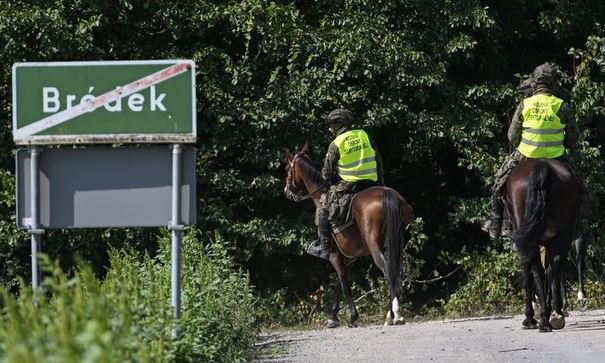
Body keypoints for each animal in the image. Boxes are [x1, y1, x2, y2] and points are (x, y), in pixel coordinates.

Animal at [284, 143, 416, 330]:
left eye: (287, 168)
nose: (287, 191)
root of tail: (387, 195)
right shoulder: (349, 258)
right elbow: (338, 284)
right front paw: (333, 318)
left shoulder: (334, 255)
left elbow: (344, 284)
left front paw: (352, 317)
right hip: (395, 243)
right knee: (395, 271)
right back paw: (392, 314)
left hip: (375, 247)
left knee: (387, 271)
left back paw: (394, 315)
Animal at [504, 159, 576, 332]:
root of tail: (542, 167)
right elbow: (551, 270)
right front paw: (554, 310)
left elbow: (527, 275)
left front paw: (530, 317)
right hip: (564, 231)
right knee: (555, 264)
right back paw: (553, 316)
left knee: (537, 269)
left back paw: (542, 319)